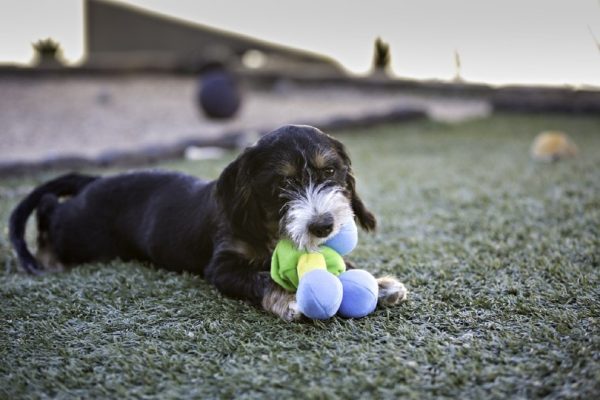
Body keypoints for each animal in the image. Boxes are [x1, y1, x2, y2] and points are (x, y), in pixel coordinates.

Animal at [9, 125, 408, 318]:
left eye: (330, 172)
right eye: (283, 183)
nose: (323, 226)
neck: (266, 228)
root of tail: (94, 181)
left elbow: (343, 263)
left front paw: (378, 283)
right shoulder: (222, 266)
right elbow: (260, 276)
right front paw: (289, 298)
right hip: (82, 234)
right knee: (48, 208)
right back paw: (46, 256)